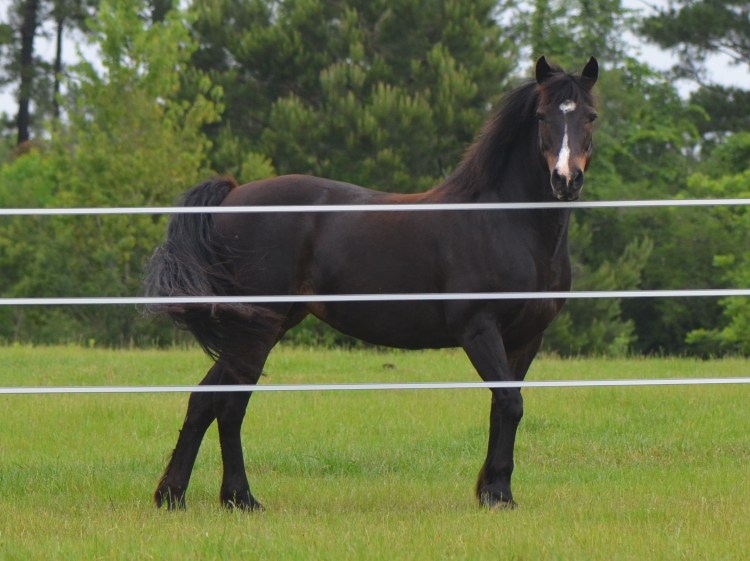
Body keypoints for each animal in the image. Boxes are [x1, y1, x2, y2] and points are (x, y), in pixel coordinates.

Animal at [145, 56, 599, 511]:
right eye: (541, 116)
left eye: (591, 116)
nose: (566, 180)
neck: (505, 221)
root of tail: (232, 194)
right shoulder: (479, 330)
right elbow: (509, 402)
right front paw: (498, 494)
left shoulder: (526, 338)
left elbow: (502, 407)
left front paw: (494, 489)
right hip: (255, 331)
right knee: (230, 406)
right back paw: (240, 497)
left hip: (263, 327)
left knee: (204, 399)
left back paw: (174, 494)